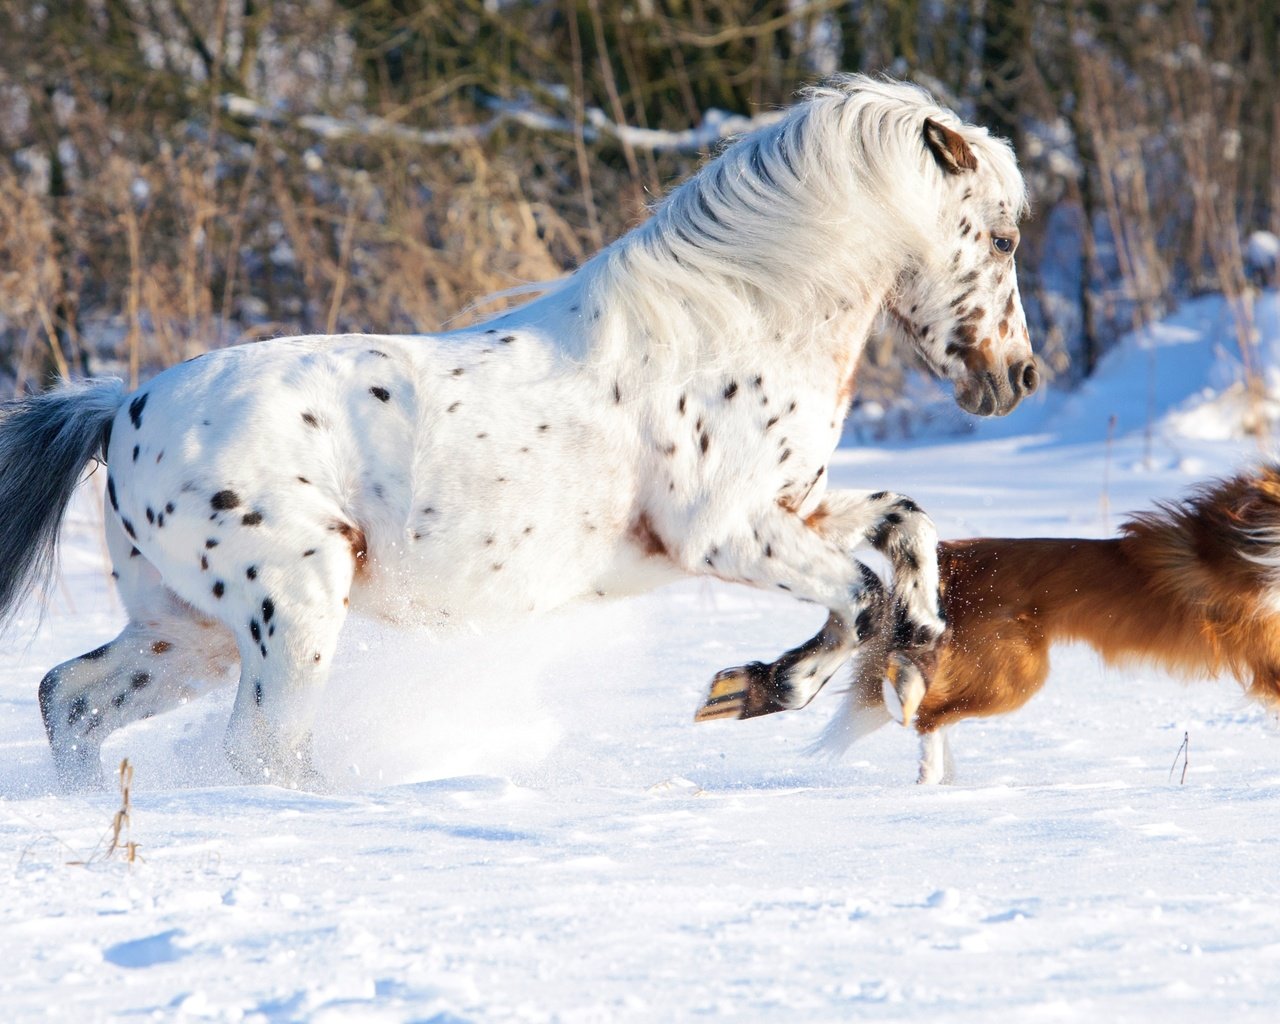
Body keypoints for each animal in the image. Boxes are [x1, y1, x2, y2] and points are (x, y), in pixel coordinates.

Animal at [0, 76, 1039, 788]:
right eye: (1002, 238)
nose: (1018, 378)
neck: (734, 323)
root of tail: (124, 410)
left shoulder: (795, 507)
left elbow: (904, 524)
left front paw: (918, 641)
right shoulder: (725, 535)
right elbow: (858, 596)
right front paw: (754, 689)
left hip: (190, 631)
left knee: (71, 698)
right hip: (292, 614)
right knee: (259, 751)